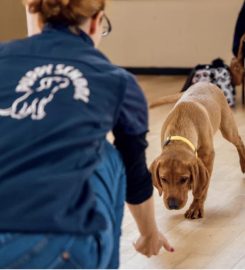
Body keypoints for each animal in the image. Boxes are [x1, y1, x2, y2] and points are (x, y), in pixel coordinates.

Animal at [150, 81, 244, 218]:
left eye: (183, 179)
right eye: (163, 179)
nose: (172, 205)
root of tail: (205, 82)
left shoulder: (208, 156)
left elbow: (202, 187)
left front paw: (196, 206)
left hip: (227, 127)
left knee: (239, 142)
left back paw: (244, 164)